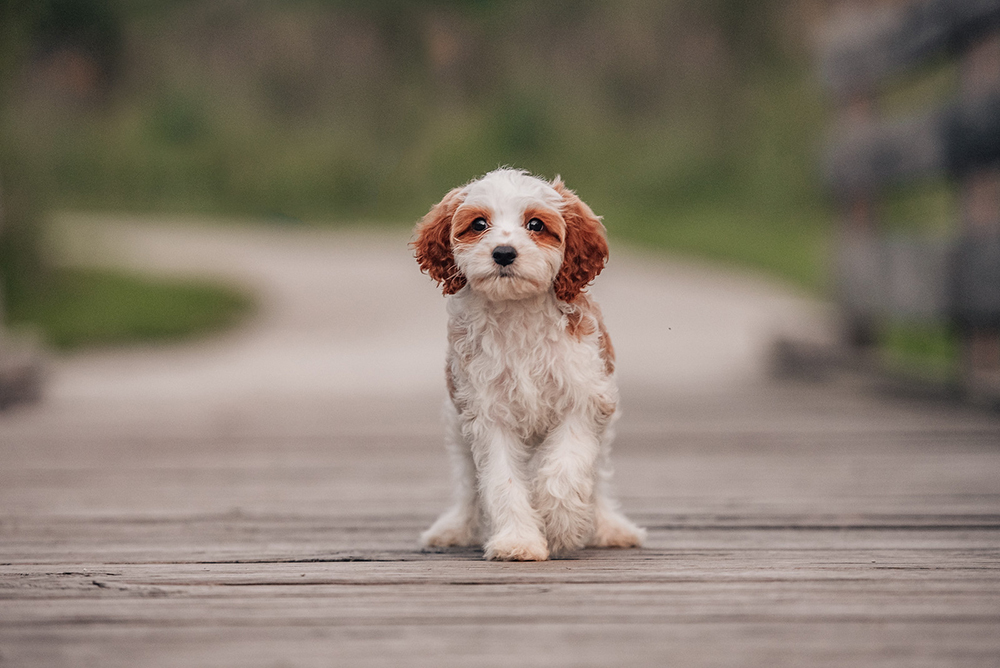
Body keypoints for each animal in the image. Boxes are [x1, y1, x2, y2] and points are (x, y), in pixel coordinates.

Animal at [410, 167, 644, 560]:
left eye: (535, 224)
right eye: (479, 224)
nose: (504, 253)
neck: (516, 311)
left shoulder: (584, 398)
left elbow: (565, 469)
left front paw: (561, 526)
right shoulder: (488, 413)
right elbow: (500, 481)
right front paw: (517, 540)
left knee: (596, 479)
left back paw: (610, 526)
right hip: (457, 427)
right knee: (468, 485)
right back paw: (455, 528)